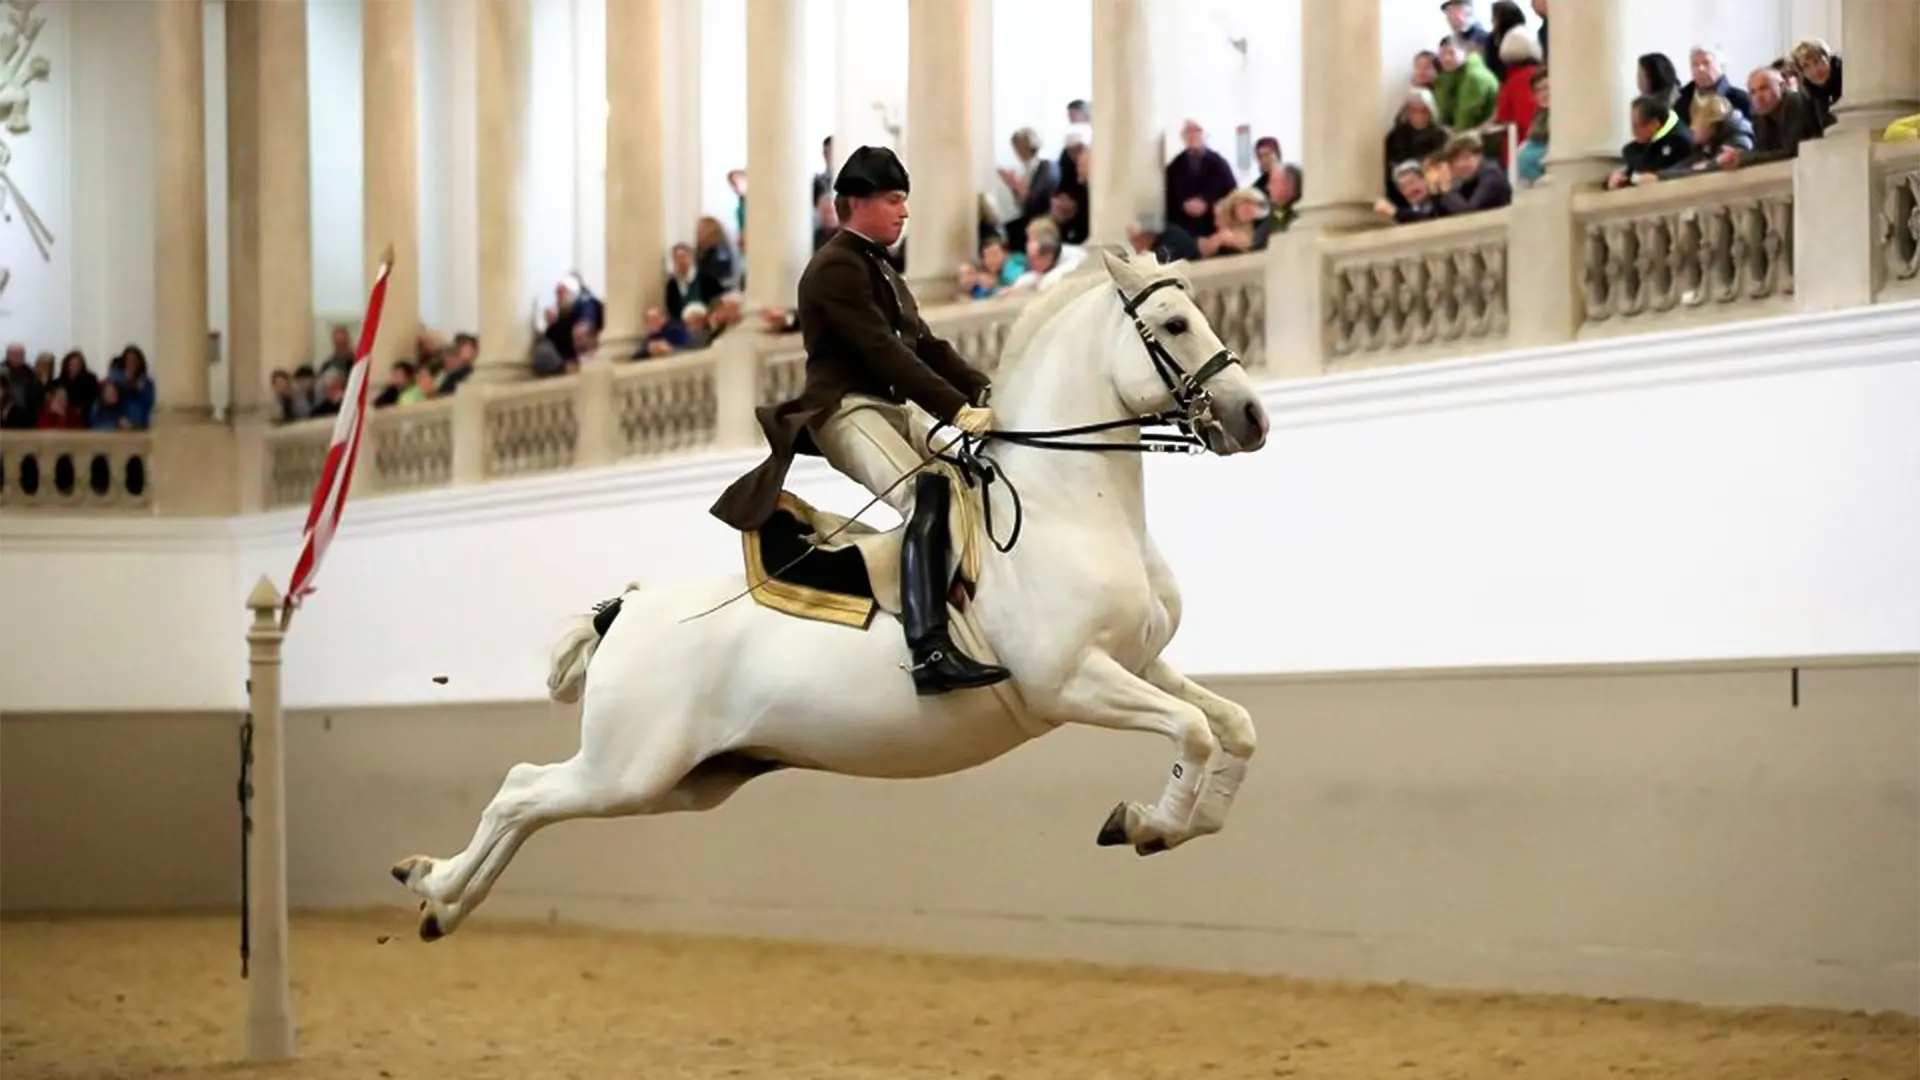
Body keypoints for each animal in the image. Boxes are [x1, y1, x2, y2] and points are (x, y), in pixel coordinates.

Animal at [389, 247, 1267, 937]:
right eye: (1176, 324)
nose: (1250, 416)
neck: (1068, 503)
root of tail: (626, 611)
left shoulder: (1140, 664)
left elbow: (1234, 728)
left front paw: (1172, 822)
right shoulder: (1074, 682)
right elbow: (1193, 733)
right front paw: (1149, 825)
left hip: (680, 783)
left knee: (532, 803)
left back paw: (440, 900)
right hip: (628, 767)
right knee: (519, 791)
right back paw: (434, 886)